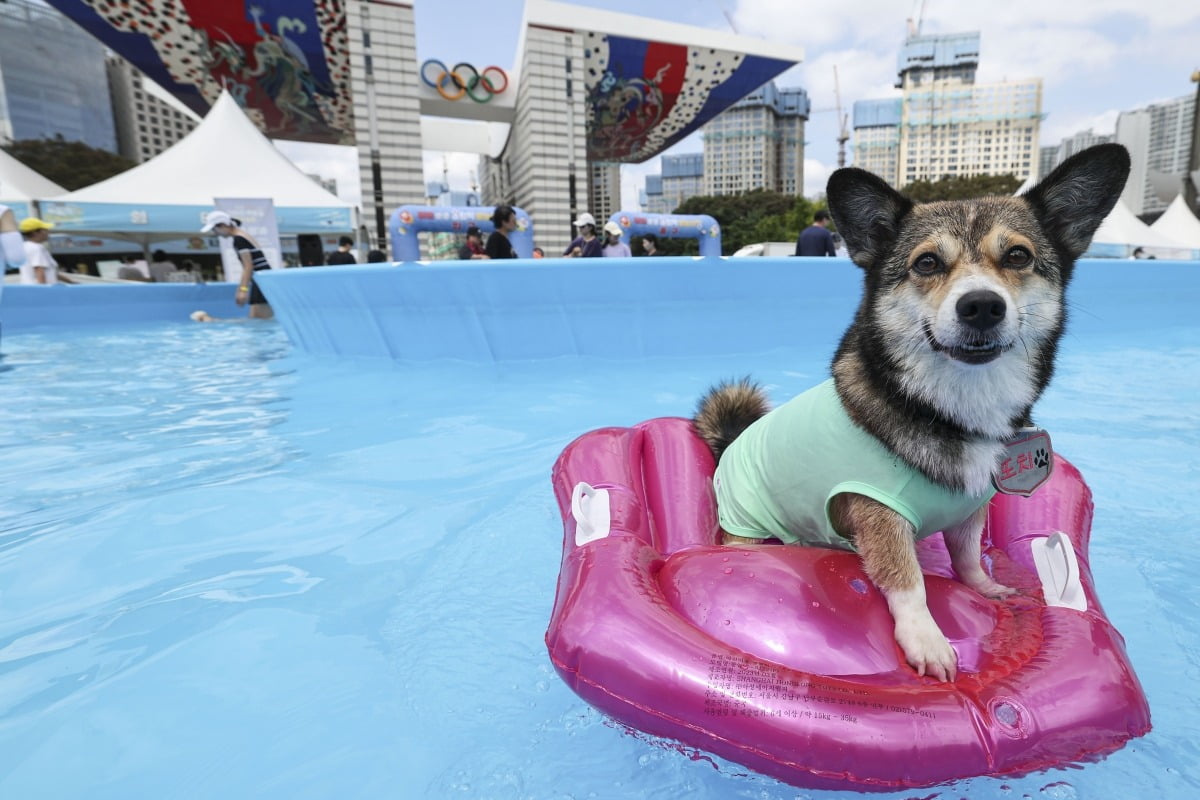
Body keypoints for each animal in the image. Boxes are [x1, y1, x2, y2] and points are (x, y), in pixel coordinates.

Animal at [700, 143, 1128, 681]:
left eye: (1018, 255)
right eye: (926, 263)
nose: (982, 306)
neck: (950, 408)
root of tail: (730, 444)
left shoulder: (970, 512)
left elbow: (967, 557)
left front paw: (986, 589)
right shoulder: (880, 517)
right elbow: (909, 582)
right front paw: (928, 640)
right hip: (747, 528)